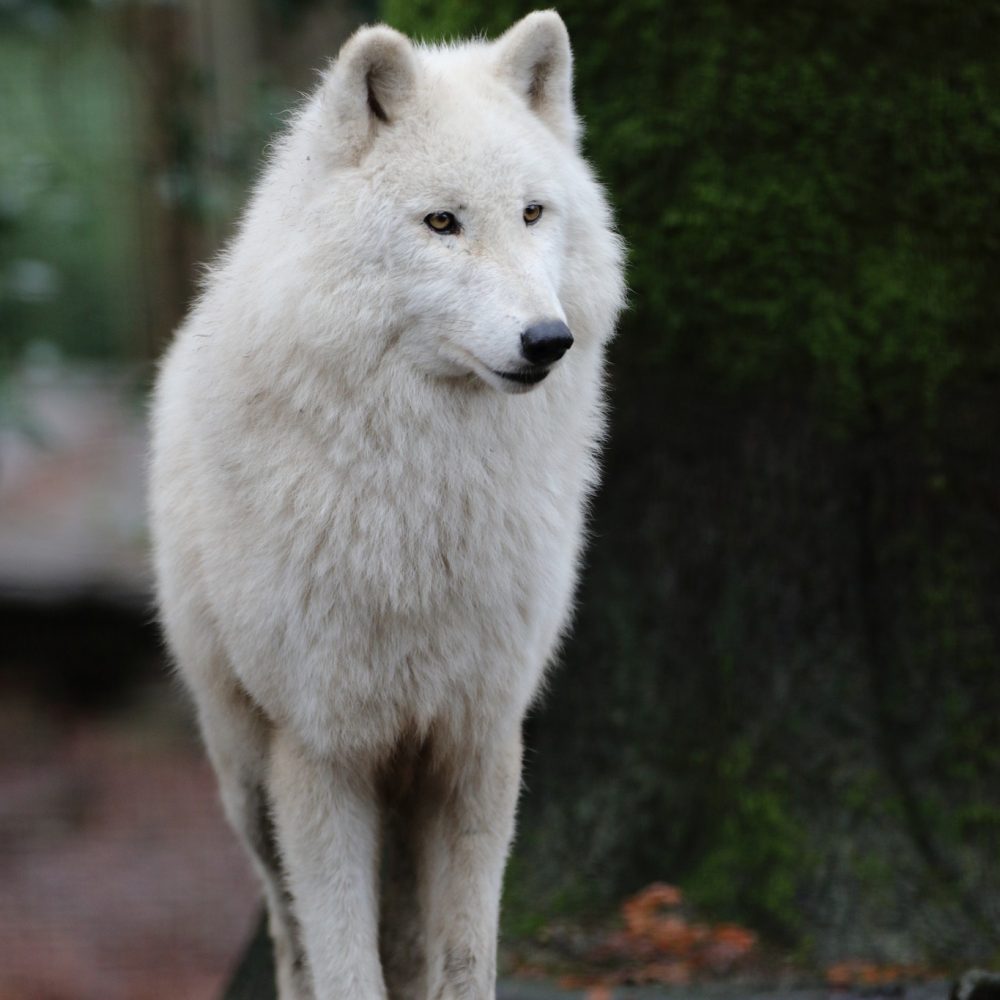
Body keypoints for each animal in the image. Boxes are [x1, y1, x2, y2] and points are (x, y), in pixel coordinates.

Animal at [149, 10, 624, 999]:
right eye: (442, 222)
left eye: (533, 213)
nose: (547, 341)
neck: (425, 503)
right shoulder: (321, 752)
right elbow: (343, 962)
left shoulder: (477, 737)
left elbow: (465, 957)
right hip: (246, 777)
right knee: (289, 930)